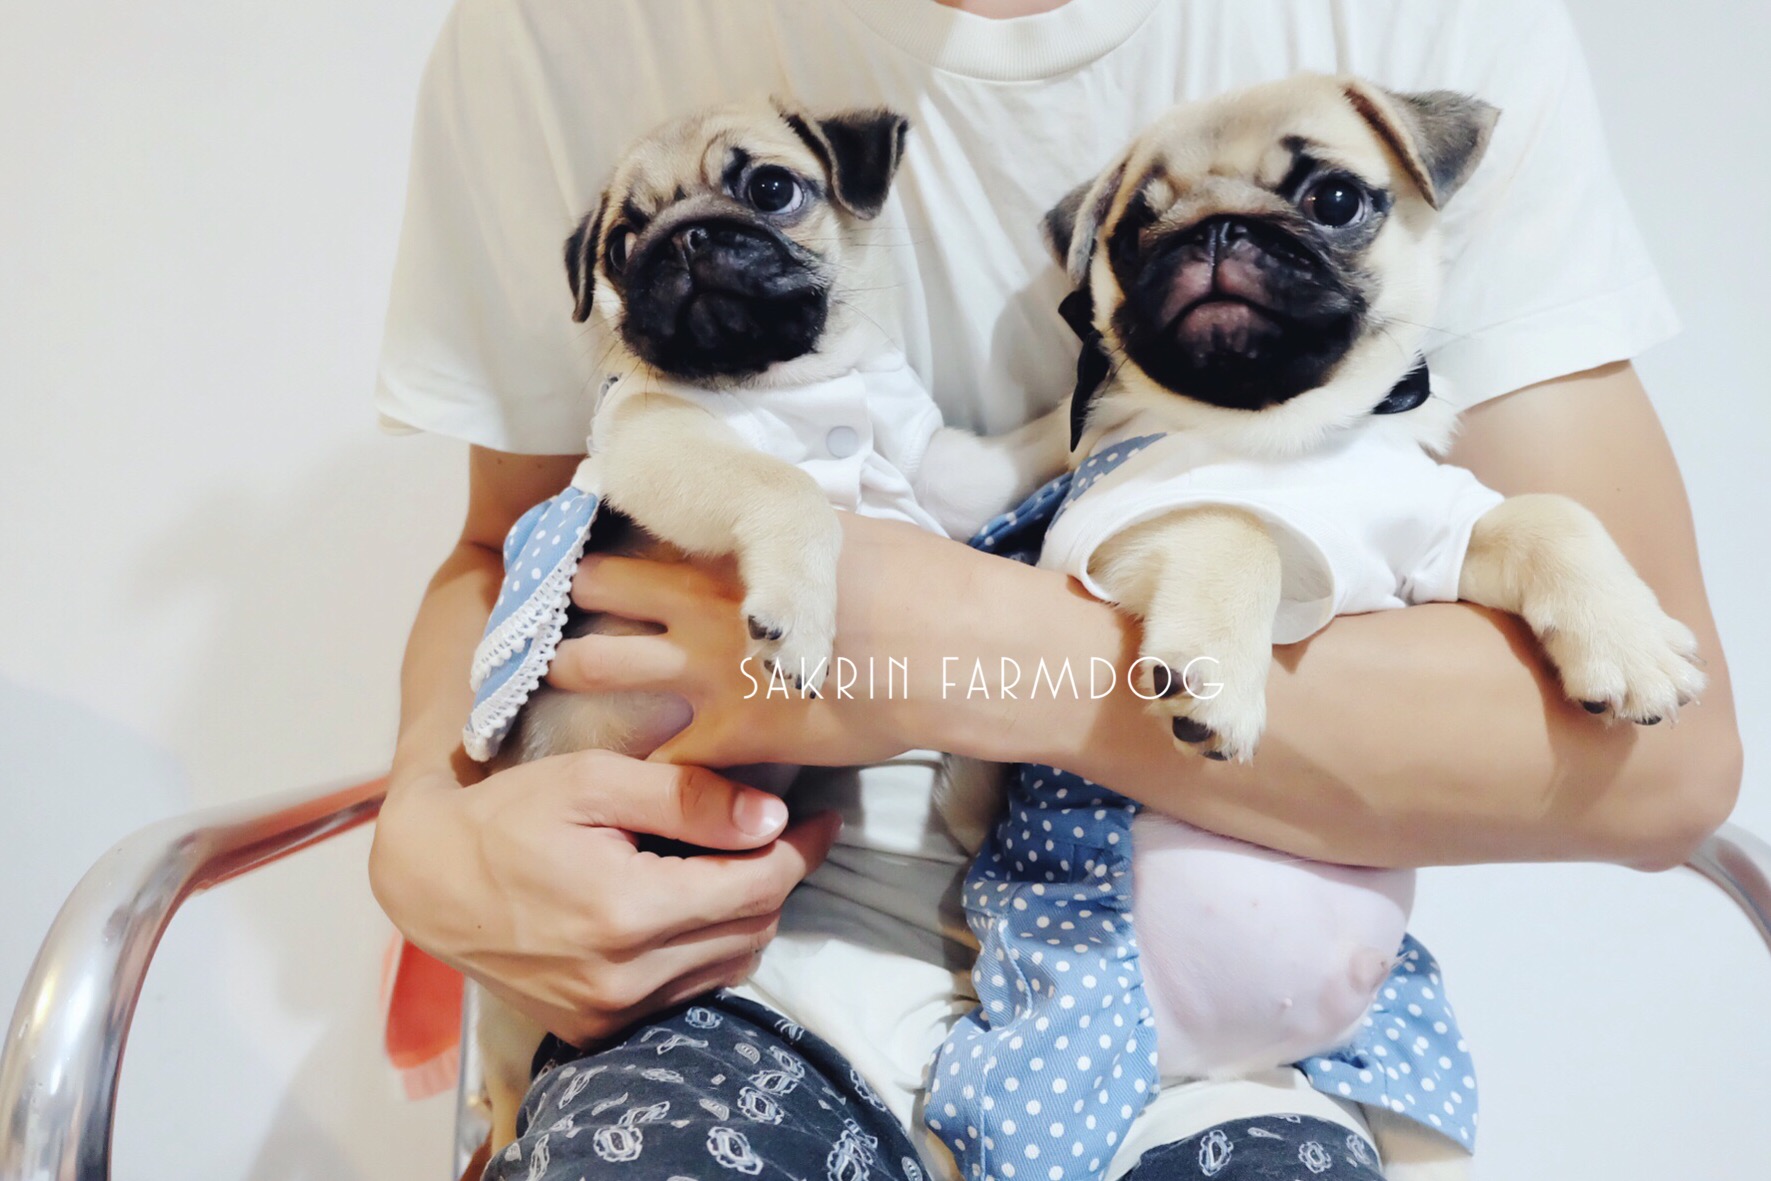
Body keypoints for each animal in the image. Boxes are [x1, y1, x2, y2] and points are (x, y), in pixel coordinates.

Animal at [466, 98, 1067, 1152]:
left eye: (770, 188)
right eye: (620, 244)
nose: (682, 239)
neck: (785, 383)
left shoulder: (940, 473)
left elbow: (1020, 447)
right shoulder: (658, 440)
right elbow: (787, 485)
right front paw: (798, 609)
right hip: (505, 1017)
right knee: (502, 1095)